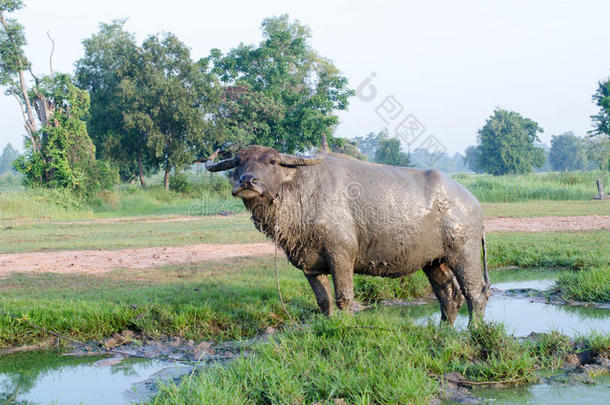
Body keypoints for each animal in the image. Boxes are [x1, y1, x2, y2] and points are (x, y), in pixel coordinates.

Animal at [204, 137, 490, 326]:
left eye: (272, 161)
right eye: (238, 163)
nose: (248, 182)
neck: (301, 194)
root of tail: (472, 201)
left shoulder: (341, 255)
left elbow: (344, 297)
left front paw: (347, 325)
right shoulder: (310, 264)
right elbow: (324, 301)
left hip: (464, 252)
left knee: (474, 293)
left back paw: (474, 331)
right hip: (433, 261)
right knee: (448, 294)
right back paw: (443, 330)